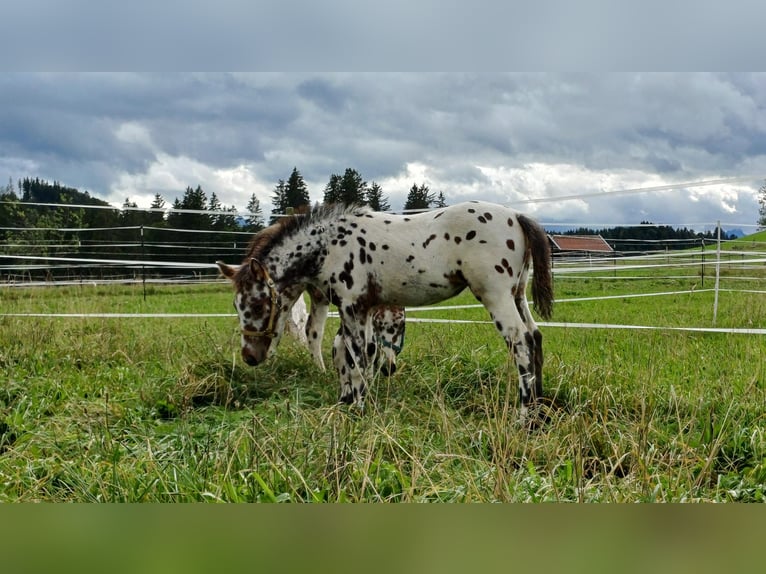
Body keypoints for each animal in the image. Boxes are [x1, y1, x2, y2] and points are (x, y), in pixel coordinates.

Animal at [216, 200, 552, 412]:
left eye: (258, 304)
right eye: (236, 305)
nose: (250, 357)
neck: (330, 244)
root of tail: (517, 216)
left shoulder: (352, 306)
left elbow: (357, 358)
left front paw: (360, 405)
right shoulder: (363, 310)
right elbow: (352, 354)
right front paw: (350, 400)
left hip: (495, 295)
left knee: (521, 341)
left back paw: (524, 416)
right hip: (517, 293)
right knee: (535, 336)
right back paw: (540, 409)